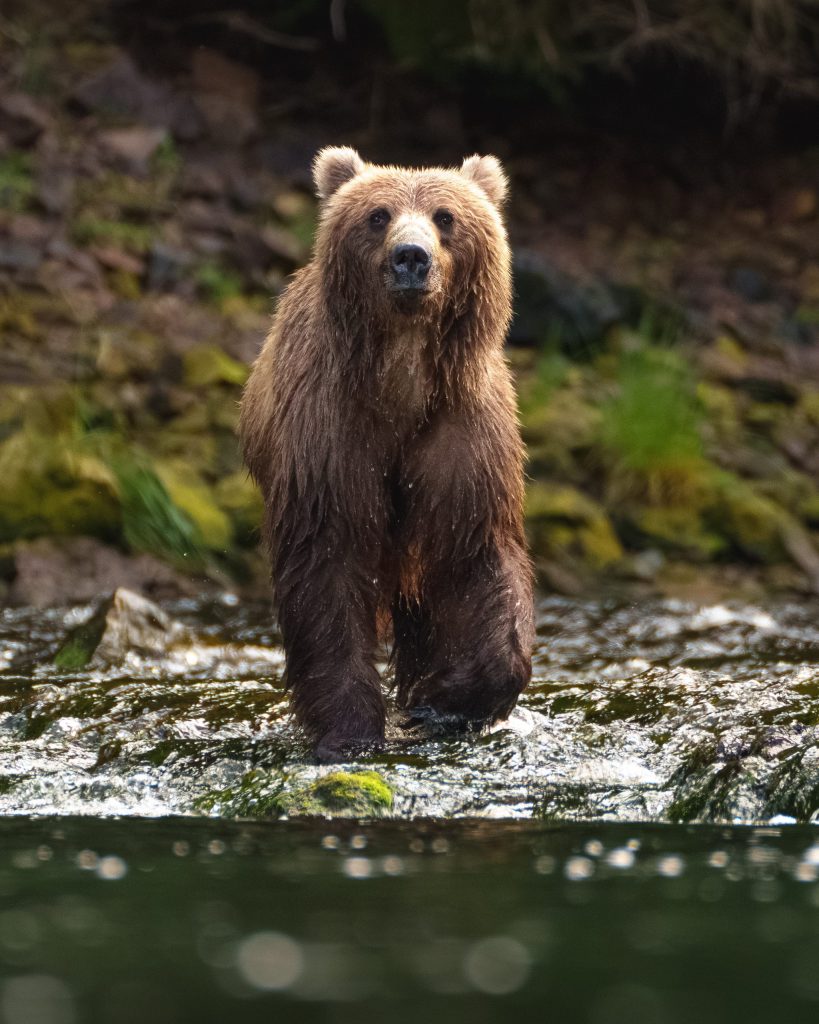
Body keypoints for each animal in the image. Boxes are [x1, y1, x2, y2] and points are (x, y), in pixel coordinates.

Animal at [240, 147, 534, 761]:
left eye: (446, 217)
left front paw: (446, 697)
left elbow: (479, 557)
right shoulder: (332, 435)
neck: (401, 382)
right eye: (378, 216)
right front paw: (349, 730)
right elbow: (326, 568)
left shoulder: (461, 435)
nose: (411, 257)